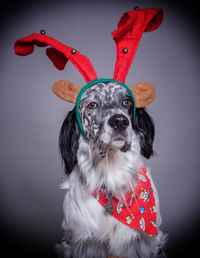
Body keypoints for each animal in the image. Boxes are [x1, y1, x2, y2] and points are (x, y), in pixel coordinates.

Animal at [55, 81, 166, 258]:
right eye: (92, 104)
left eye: (127, 101)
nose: (120, 121)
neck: (112, 176)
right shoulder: (84, 242)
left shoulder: (144, 243)